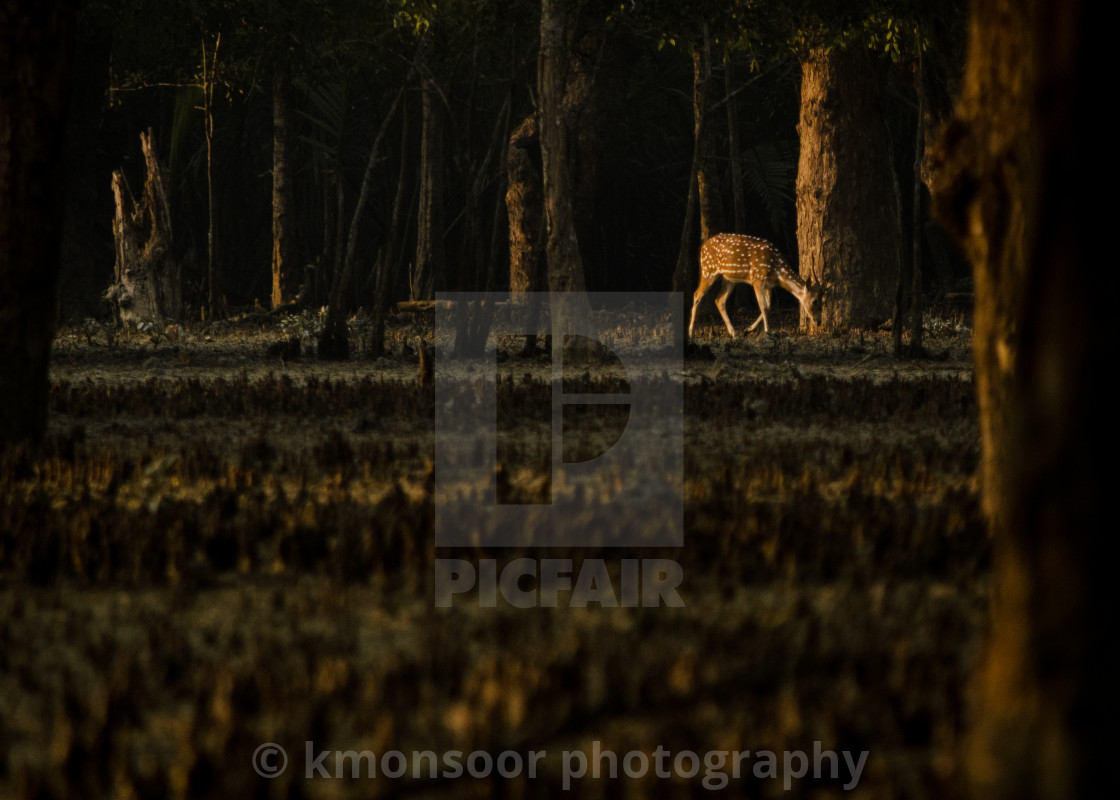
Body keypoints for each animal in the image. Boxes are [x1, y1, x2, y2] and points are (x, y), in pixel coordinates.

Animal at [685, 234, 819, 340]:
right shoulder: (757, 279)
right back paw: (690, 333)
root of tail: (703, 247)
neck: (776, 272)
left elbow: (768, 306)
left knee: (719, 300)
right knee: (697, 294)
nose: (818, 321)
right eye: (815, 301)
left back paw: (733, 333)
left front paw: (748, 329)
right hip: (708, 270)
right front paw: (768, 332)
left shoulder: (769, 285)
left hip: (729, 279)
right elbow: (763, 307)